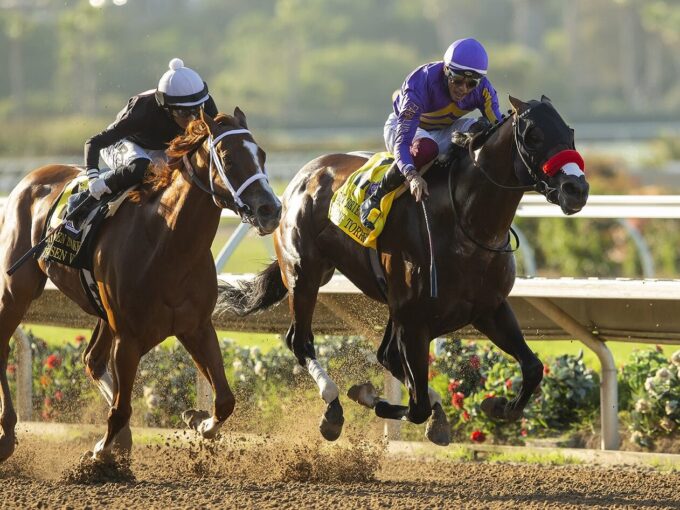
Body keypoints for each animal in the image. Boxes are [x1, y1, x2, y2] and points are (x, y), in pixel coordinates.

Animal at [0, 109, 282, 460]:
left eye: (263, 155)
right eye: (228, 159)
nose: (271, 210)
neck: (167, 245)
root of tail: (32, 176)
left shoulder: (197, 326)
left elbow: (225, 400)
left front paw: (198, 421)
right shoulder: (129, 337)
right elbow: (121, 409)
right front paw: (99, 454)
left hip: (102, 311)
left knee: (92, 360)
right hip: (17, 290)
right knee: (5, 345)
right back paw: (8, 433)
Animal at [219, 95, 588, 442]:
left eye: (570, 132)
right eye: (532, 135)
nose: (577, 189)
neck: (465, 223)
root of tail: (304, 174)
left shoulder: (488, 308)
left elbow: (533, 367)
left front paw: (498, 406)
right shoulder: (414, 321)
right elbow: (416, 405)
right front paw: (371, 396)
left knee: (384, 356)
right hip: (304, 276)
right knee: (301, 341)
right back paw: (333, 409)